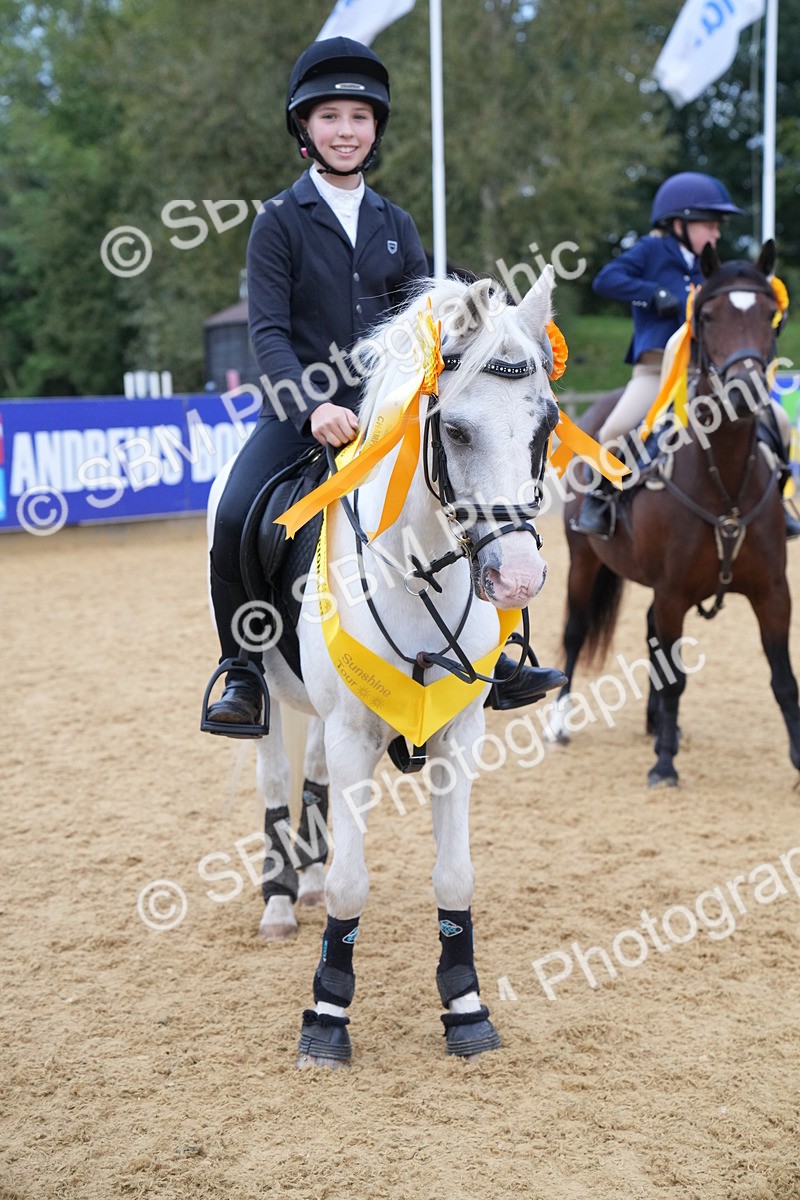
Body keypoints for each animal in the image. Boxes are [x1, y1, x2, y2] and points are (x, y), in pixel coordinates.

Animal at [206, 270, 563, 1066]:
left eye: (547, 427)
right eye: (454, 429)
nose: (518, 579)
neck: (418, 571)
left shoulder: (458, 738)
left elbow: (455, 874)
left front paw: (465, 1007)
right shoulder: (352, 736)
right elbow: (351, 885)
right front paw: (326, 1016)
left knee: (309, 781)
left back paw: (302, 884)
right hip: (268, 700)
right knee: (275, 780)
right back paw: (281, 903)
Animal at [552, 240, 800, 788]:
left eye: (770, 316)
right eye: (706, 316)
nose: (745, 390)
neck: (724, 480)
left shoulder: (773, 594)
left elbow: (783, 680)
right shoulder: (673, 594)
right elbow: (676, 680)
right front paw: (664, 762)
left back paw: (653, 723)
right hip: (583, 561)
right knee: (576, 633)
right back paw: (560, 723)